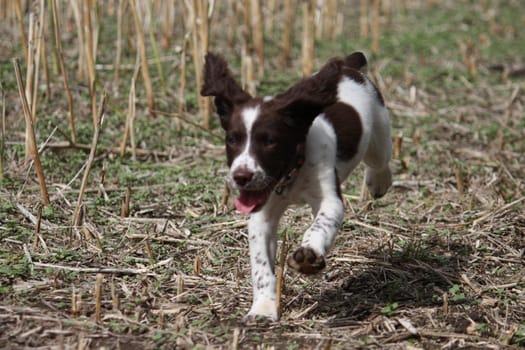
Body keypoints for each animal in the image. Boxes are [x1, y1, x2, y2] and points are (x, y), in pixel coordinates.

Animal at [203, 50, 390, 322]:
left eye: (270, 141)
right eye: (232, 139)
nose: (241, 176)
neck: (291, 174)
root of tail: (349, 65)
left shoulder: (329, 199)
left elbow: (321, 225)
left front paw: (309, 255)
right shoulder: (262, 215)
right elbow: (261, 266)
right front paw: (263, 308)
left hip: (379, 136)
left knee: (380, 161)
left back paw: (378, 183)